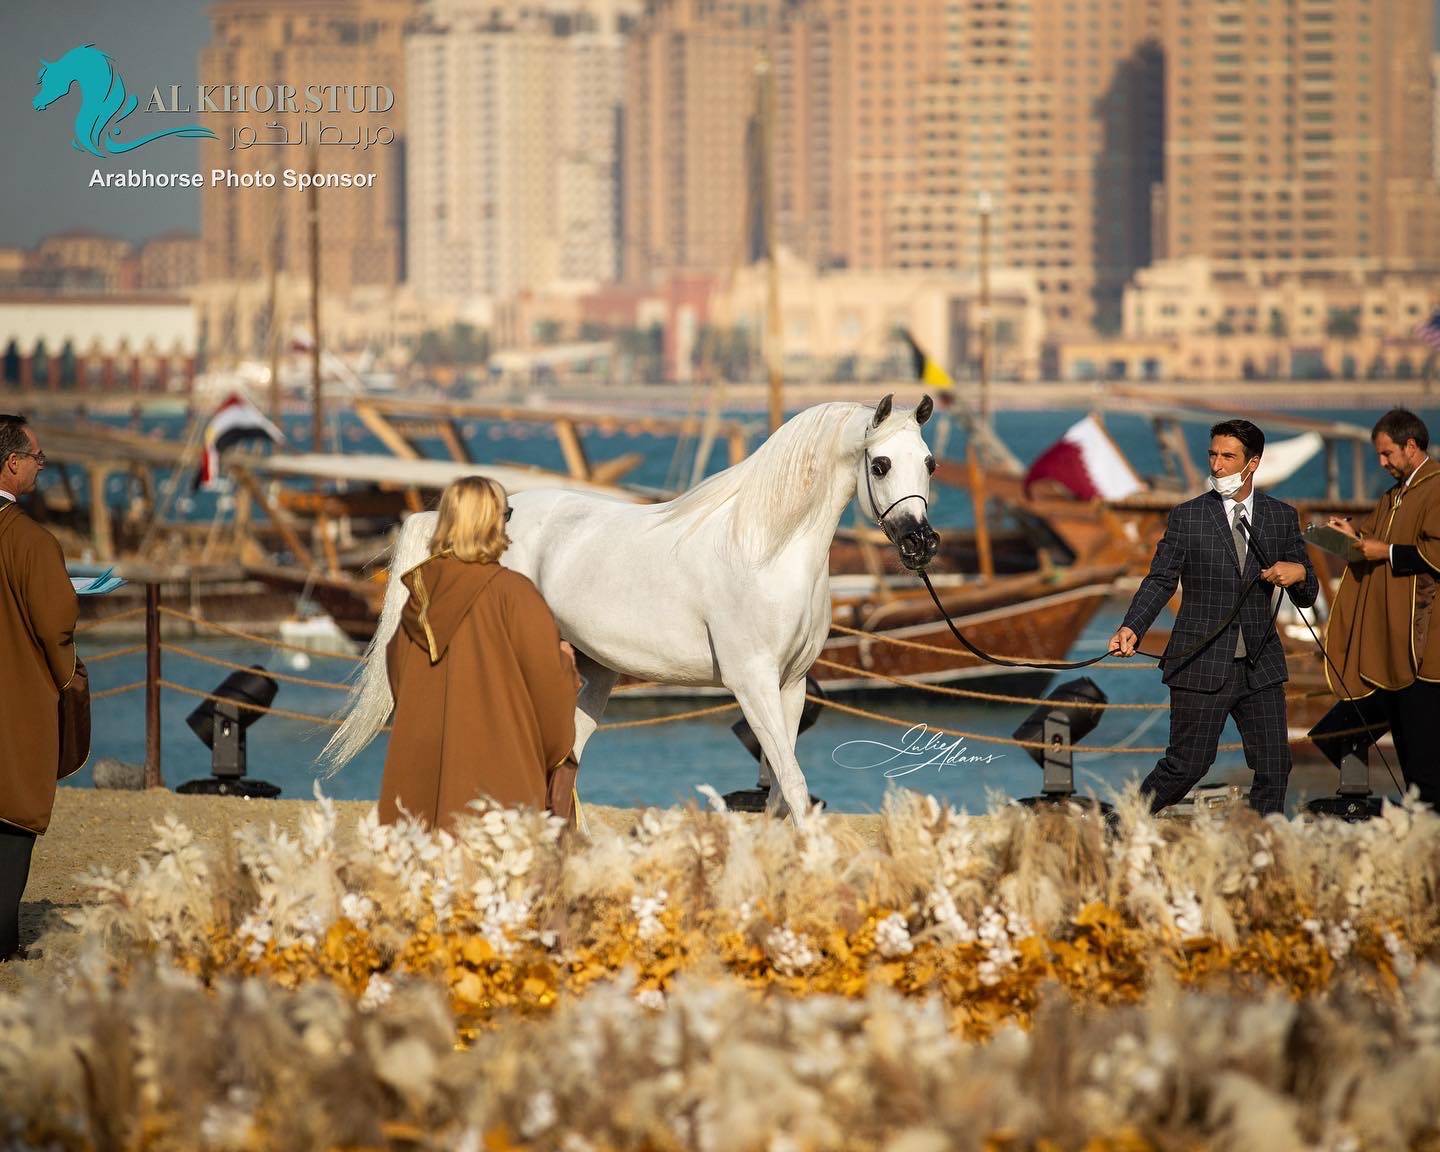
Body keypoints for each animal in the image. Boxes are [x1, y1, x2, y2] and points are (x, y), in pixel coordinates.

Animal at [324, 395, 940, 824]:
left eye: (930, 463)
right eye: (880, 464)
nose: (921, 544)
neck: (766, 549)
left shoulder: (789, 685)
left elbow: (783, 791)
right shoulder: (752, 682)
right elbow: (790, 783)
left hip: (594, 674)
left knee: (563, 762)